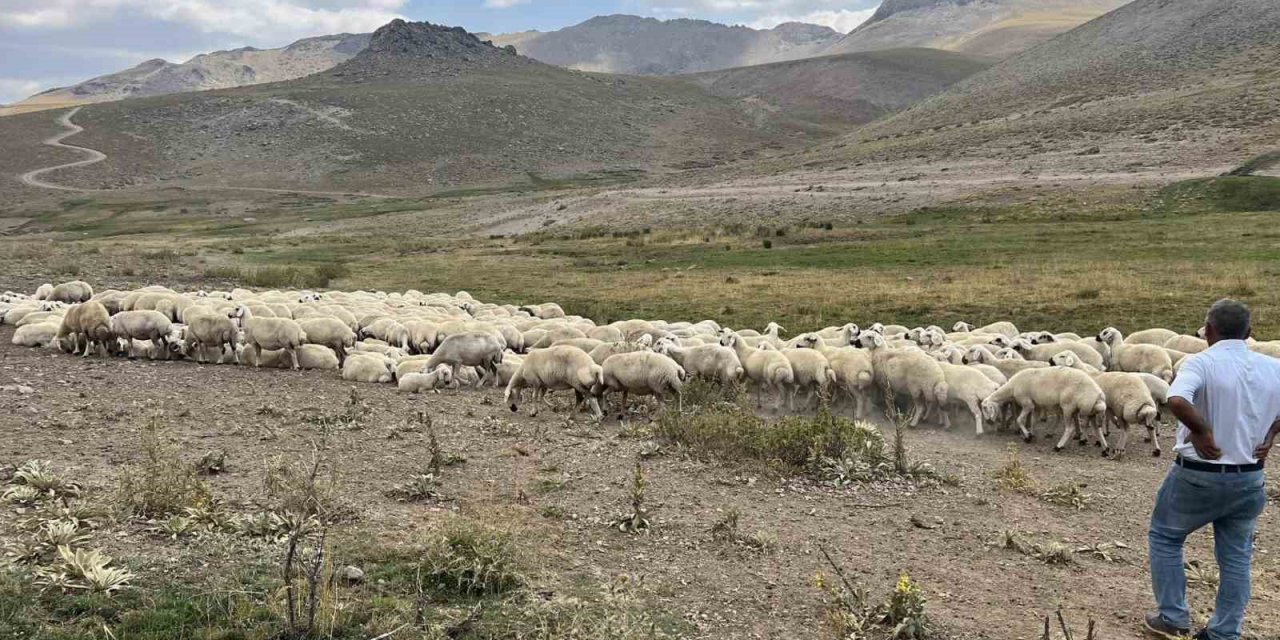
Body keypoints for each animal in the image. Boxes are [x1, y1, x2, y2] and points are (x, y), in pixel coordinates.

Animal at [977, 368, 1111, 453]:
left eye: (984, 408)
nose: (988, 422)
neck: (1011, 388)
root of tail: (1099, 395)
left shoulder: (1027, 403)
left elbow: (1020, 420)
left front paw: (1027, 436)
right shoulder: (1036, 405)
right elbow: (1033, 421)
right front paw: (1031, 434)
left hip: (1068, 406)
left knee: (1069, 428)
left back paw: (1059, 446)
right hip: (1091, 412)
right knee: (1097, 429)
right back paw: (1105, 449)